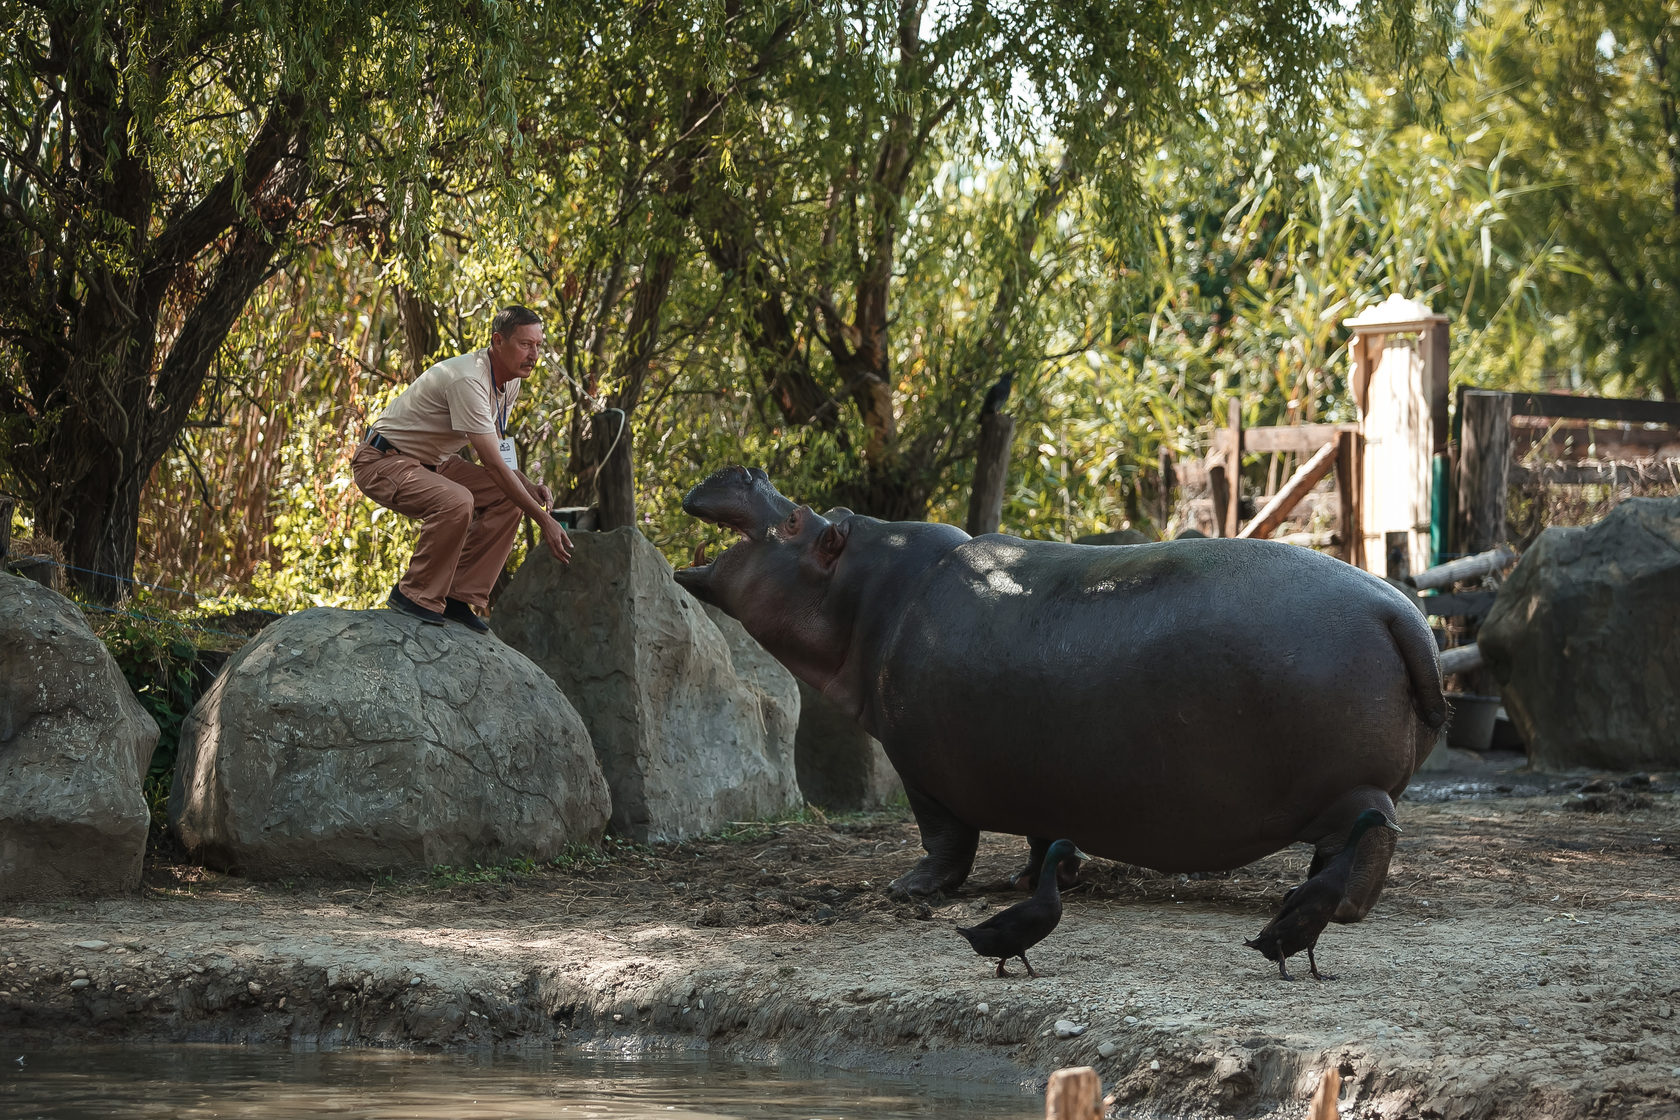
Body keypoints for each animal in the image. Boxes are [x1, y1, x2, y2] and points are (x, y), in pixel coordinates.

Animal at [672, 463, 1444, 920]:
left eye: (797, 519)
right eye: (815, 507)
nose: (745, 468)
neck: (869, 595)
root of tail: (1399, 608)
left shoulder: (921, 769)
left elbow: (945, 839)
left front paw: (909, 890)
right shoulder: (1038, 774)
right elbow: (1042, 834)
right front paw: (1038, 880)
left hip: (1348, 791)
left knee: (1373, 834)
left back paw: (1331, 908)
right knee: (1346, 844)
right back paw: (1306, 892)